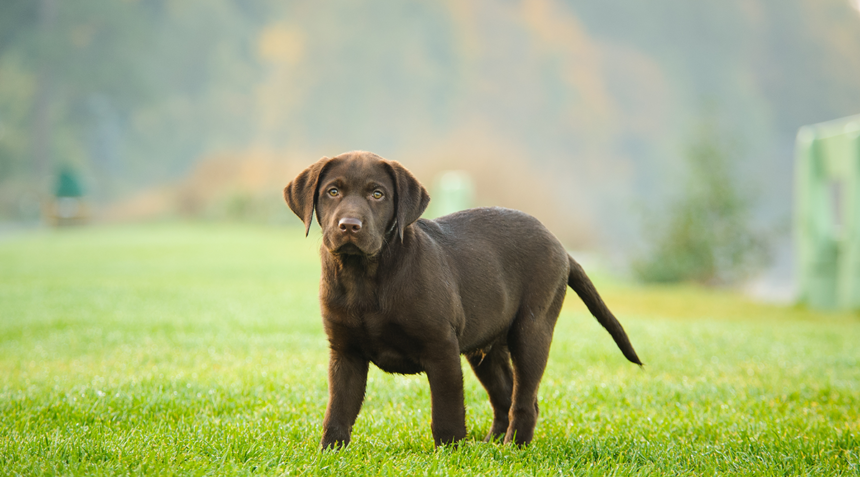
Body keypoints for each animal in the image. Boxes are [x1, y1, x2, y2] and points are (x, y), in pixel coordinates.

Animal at [286, 151, 640, 448]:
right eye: (333, 192)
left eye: (378, 194)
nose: (349, 226)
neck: (364, 276)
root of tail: (561, 246)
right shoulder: (345, 353)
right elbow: (338, 409)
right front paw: (330, 451)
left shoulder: (441, 348)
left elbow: (447, 409)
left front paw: (450, 452)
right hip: (487, 350)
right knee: (506, 397)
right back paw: (492, 445)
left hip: (532, 331)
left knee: (524, 400)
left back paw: (513, 447)